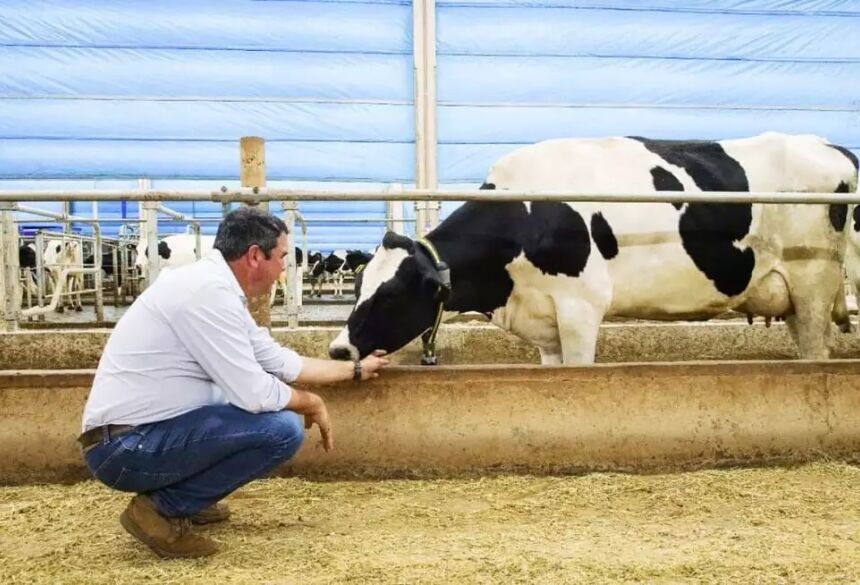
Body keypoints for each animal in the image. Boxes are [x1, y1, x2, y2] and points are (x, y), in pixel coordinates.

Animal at [330, 132, 860, 362]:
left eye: (391, 295)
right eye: (357, 287)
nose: (338, 349)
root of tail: (829, 147)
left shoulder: (580, 309)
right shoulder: (543, 322)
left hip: (814, 286)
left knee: (817, 357)